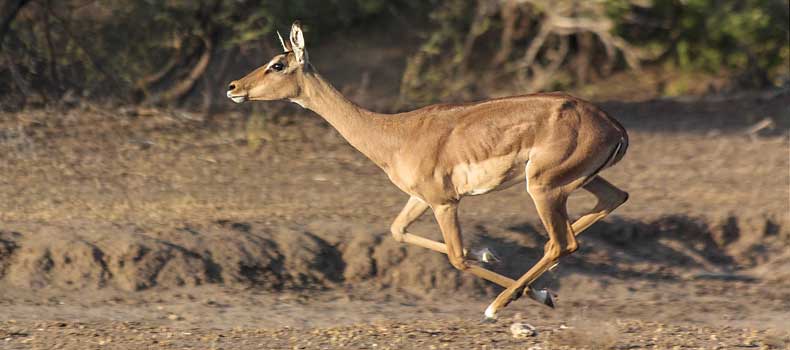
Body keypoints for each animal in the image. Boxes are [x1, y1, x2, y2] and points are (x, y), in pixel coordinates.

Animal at [227, 21, 632, 322]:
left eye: (278, 64)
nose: (233, 87)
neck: (395, 134)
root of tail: (615, 127)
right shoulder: (418, 198)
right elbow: (399, 232)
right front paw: (487, 254)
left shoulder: (444, 202)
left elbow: (456, 257)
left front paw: (494, 277)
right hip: (577, 182)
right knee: (606, 206)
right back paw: (534, 292)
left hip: (544, 189)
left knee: (563, 242)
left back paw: (499, 306)